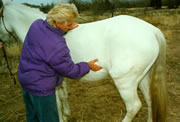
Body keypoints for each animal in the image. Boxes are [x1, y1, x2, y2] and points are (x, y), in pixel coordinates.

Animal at [0, 0, 168, 122]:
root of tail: (153, 30)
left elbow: (57, 102)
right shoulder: (60, 76)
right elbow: (63, 96)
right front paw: (67, 115)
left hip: (125, 82)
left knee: (134, 106)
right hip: (143, 78)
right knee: (150, 100)